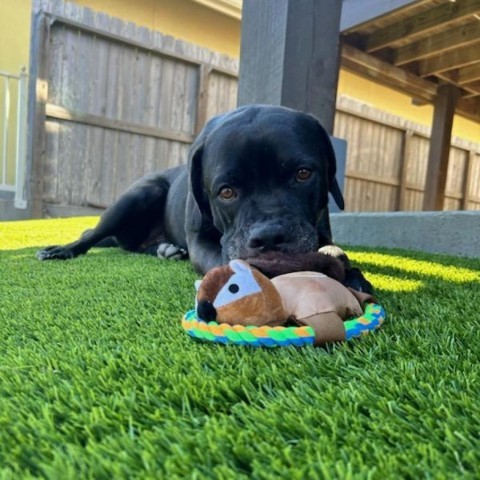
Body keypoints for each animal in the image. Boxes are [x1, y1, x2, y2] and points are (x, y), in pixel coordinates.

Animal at [37, 105, 374, 292]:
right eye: (226, 191)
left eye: (303, 173)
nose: (269, 237)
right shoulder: (200, 241)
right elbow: (221, 260)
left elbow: (335, 253)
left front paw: (352, 275)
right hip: (138, 196)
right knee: (91, 234)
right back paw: (62, 250)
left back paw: (166, 249)